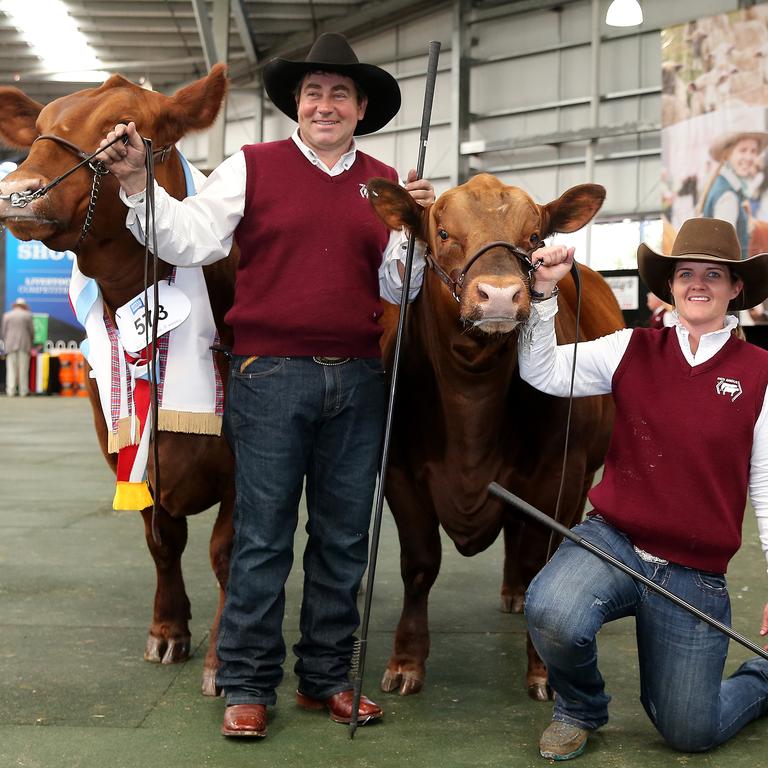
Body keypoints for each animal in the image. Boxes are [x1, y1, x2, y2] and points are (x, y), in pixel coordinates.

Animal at [0, 67, 237, 696]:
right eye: (38, 126)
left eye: (123, 130)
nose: (18, 190)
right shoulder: (123, 446)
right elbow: (161, 539)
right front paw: (167, 631)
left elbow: (227, 552)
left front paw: (222, 661)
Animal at [366, 174, 624, 704]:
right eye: (443, 233)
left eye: (536, 237)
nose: (501, 295)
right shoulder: (399, 473)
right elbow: (419, 565)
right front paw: (405, 662)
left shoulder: (557, 476)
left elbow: (535, 560)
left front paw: (545, 670)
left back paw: (518, 596)